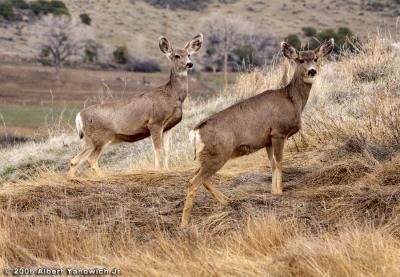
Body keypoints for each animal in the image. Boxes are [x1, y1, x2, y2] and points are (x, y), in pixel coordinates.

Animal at [68, 34, 203, 177]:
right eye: (176, 55)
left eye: (189, 54)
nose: (189, 64)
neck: (172, 96)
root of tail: (79, 115)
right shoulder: (155, 122)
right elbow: (158, 150)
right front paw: (157, 170)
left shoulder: (168, 127)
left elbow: (167, 150)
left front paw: (166, 170)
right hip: (101, 136)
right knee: (91, 159)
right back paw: (103, 176)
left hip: (89, 140)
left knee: (75, 160)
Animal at [182, 37, 334, 225]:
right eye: (300, 60)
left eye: (315, 58)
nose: (312, 71)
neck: (292, 100)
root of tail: (195, 132)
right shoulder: (279, 132)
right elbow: (279, 163)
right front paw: (280, 192)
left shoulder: (267, 139)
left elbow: (272, 165)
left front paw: (274, 192)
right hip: (218, 153)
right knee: (193, 182)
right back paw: (184, 223)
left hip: (207, 156)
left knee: (198, 178)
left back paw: (226, 201)